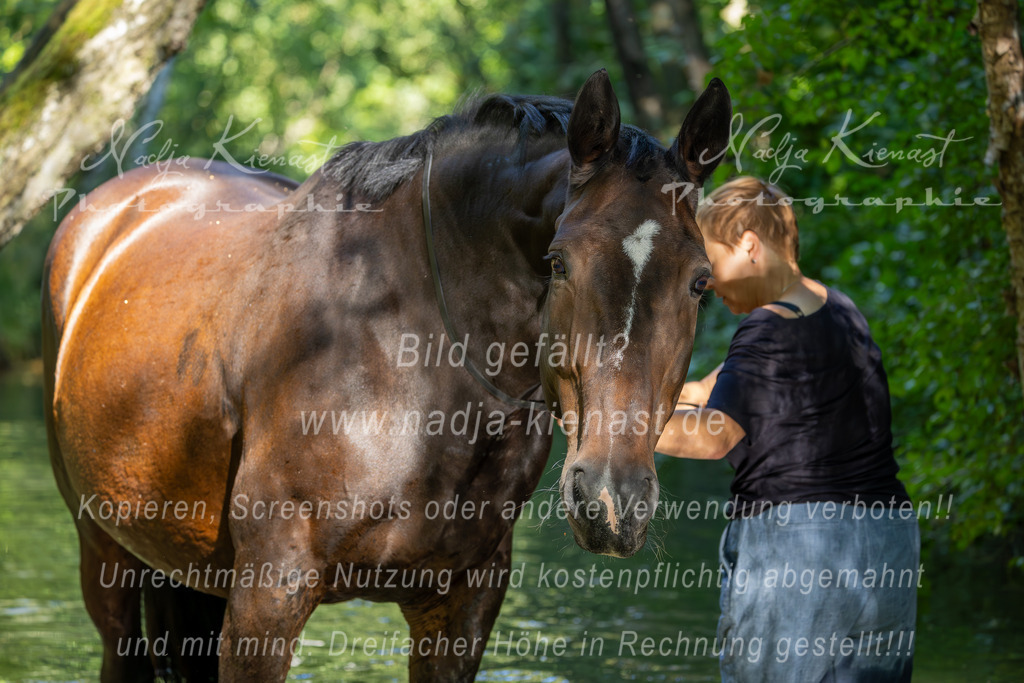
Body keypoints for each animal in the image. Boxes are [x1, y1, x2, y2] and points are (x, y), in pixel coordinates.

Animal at [42, 69, 731, 681]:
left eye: (701, 284)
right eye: (559, 262)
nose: (613, 501)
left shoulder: (460, 609)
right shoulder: (267, 598)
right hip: (102, 547)